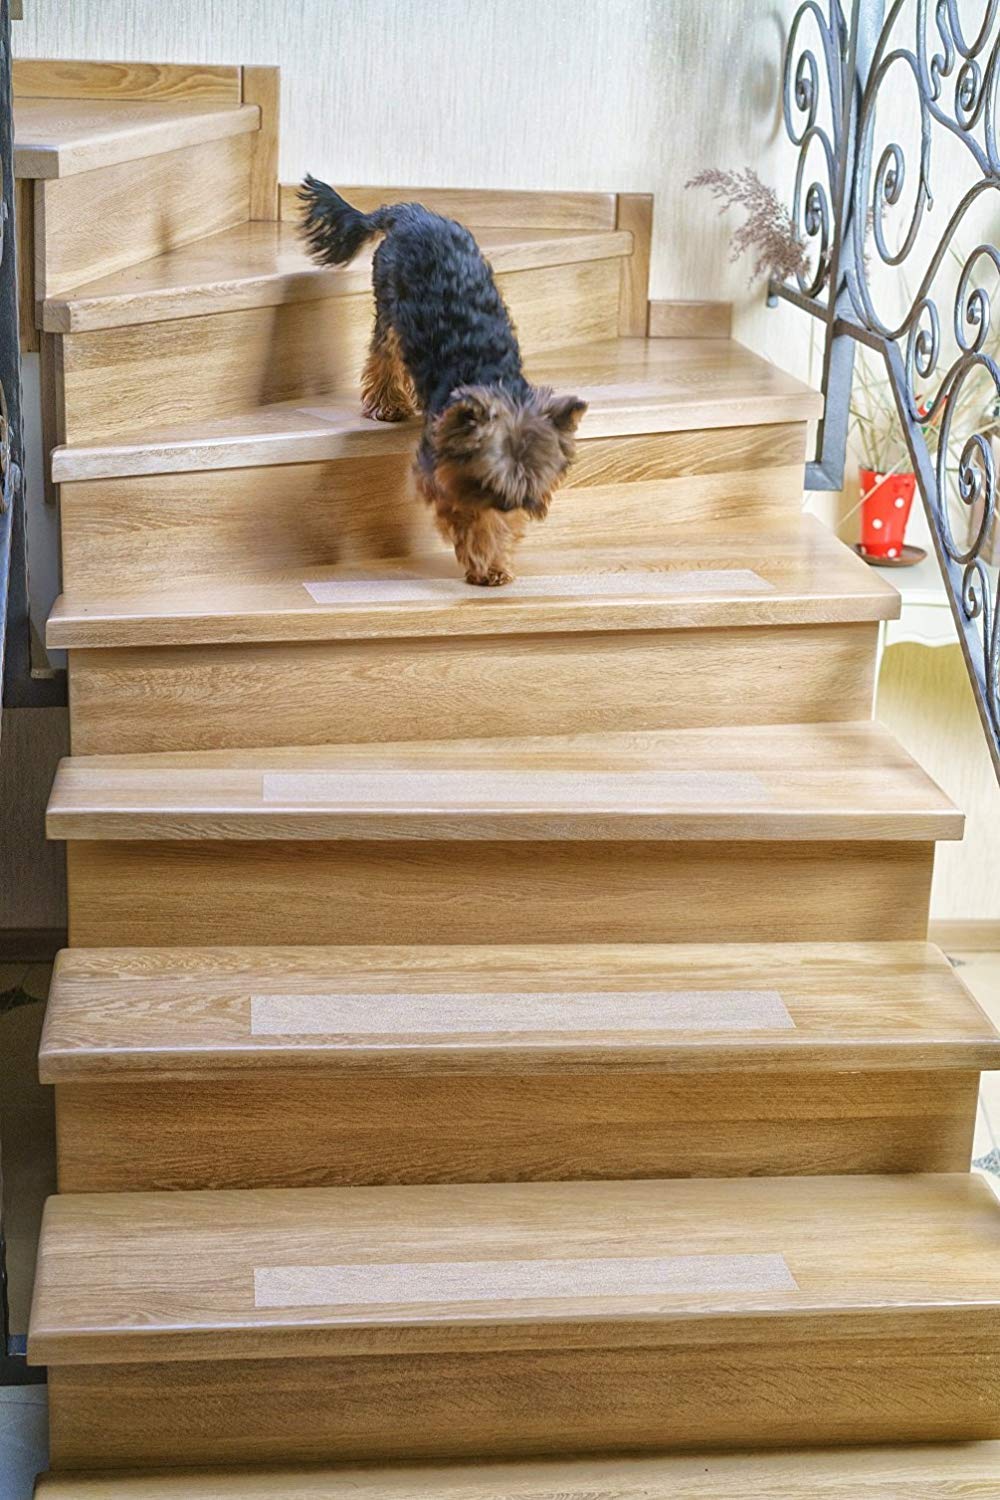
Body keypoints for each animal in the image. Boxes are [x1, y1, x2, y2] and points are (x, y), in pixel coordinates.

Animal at [299, 178, 587, 586]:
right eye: (488, 481)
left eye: (530, 484)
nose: (510, 504)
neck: (494, 380)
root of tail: (411, 213)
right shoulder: (443, 471)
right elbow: (469, 514)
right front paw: (484, 560)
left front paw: (497, 560)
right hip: (389, 296)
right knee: (384, 350)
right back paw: (386, 403)